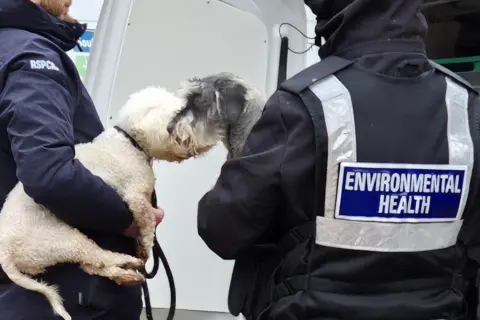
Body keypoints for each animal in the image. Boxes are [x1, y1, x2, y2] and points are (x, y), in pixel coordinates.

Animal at [0, 72, 264, 320]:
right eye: (177, 112)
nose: (178, 131)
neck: (130, 141)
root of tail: (5, 254)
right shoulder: (137, 198)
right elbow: (147, 225)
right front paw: (145, 248)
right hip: (61, 239)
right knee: (98, 257)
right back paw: (129, 262)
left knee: (93, 264)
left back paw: (126, 273)